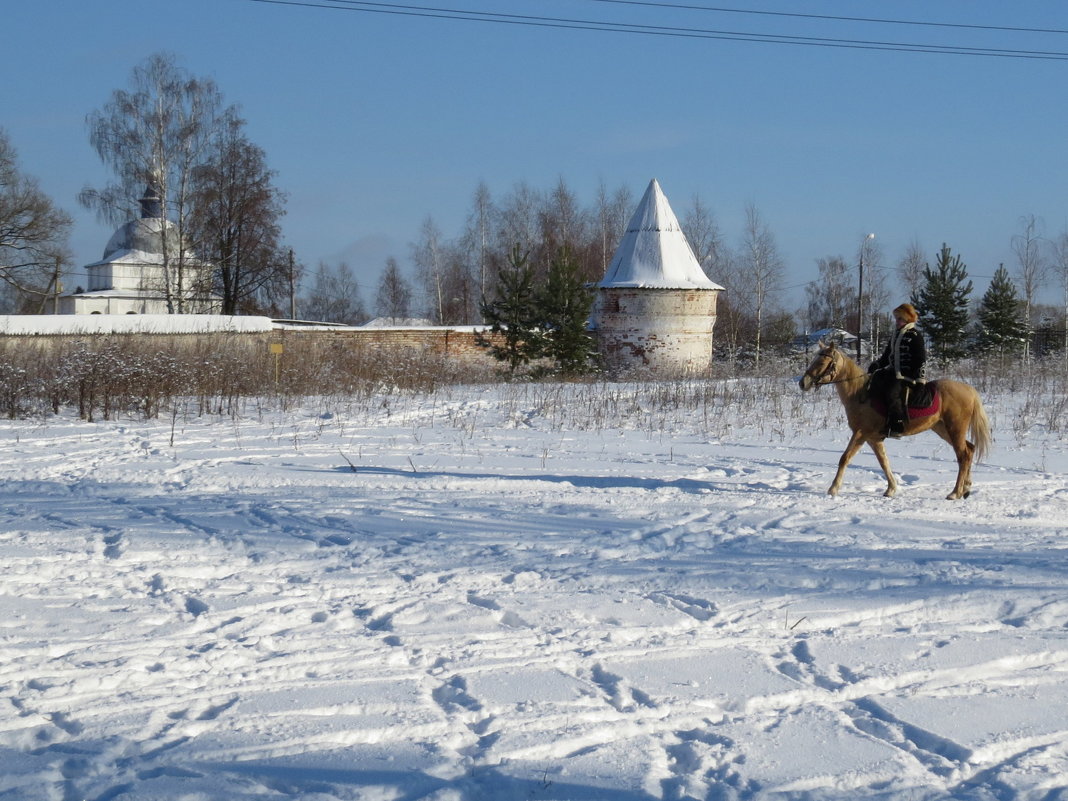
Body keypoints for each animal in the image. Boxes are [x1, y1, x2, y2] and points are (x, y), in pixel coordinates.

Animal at [798, 339, 986, 501]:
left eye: (821, 362)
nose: (803, 383)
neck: (860, 393)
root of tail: (969, 390)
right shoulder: (873, 438)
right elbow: (884, 462)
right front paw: (891, 489)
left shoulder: (861, 433)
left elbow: (845, 458)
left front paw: (833, 488)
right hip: (942, 429)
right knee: (969, 450)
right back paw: (966, 488)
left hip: (955, 429)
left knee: (963, 455)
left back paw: (955, 493)